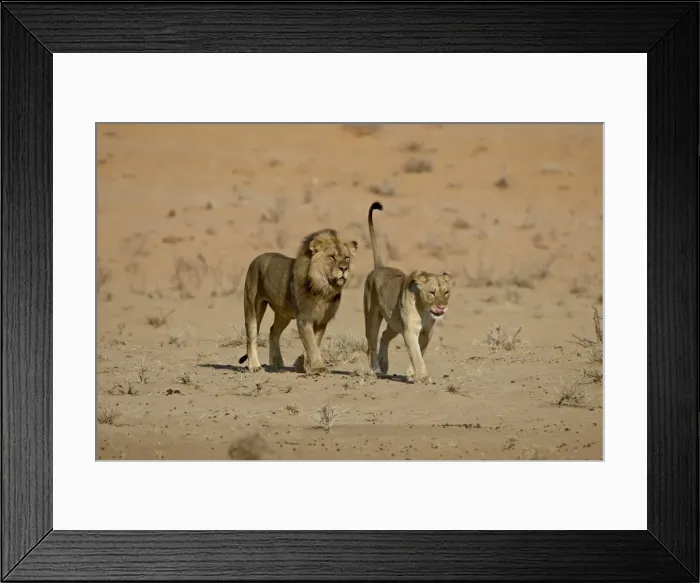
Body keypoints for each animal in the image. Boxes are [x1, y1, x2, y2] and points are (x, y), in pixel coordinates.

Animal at [237, 228, 358, 375]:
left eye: (347, 258)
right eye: (332, 257)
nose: (344, 268)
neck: (324, 288)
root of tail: (256, 259)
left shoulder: (322, 321)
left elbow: (314, 342)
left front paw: (302, 365)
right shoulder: (304, 318)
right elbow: (311, 344)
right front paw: (318, 367)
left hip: (283, 315)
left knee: (273, 331)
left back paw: (276, 361)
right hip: (252, 306)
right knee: (251, 336)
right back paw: (254, 366)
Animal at [363, 201, 453, 383]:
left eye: (446, 292)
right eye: (432, 293)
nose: (441, 307)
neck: (425, 310)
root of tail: (379, 267)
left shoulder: (426, 332)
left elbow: (420, 352)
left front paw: (412, 373)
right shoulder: (410, 330)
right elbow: (416, 354)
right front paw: (422, 376)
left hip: (395, 323)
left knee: (384, 335)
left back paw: (384, 364)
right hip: (372, 317)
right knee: (372, 343)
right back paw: (376, 369)